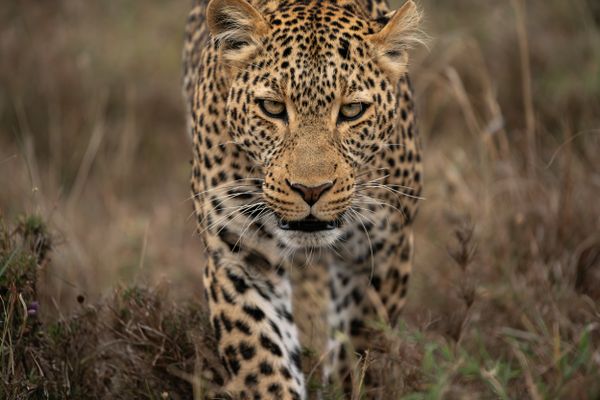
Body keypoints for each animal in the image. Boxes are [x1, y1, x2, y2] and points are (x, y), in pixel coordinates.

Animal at [182, 0, 422, 396]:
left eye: (352, 111)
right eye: (273, 108)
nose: (311, 189)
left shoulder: (385, 249)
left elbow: (361, 346)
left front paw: (345, 385)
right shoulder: (239, 255)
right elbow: (262, 361)